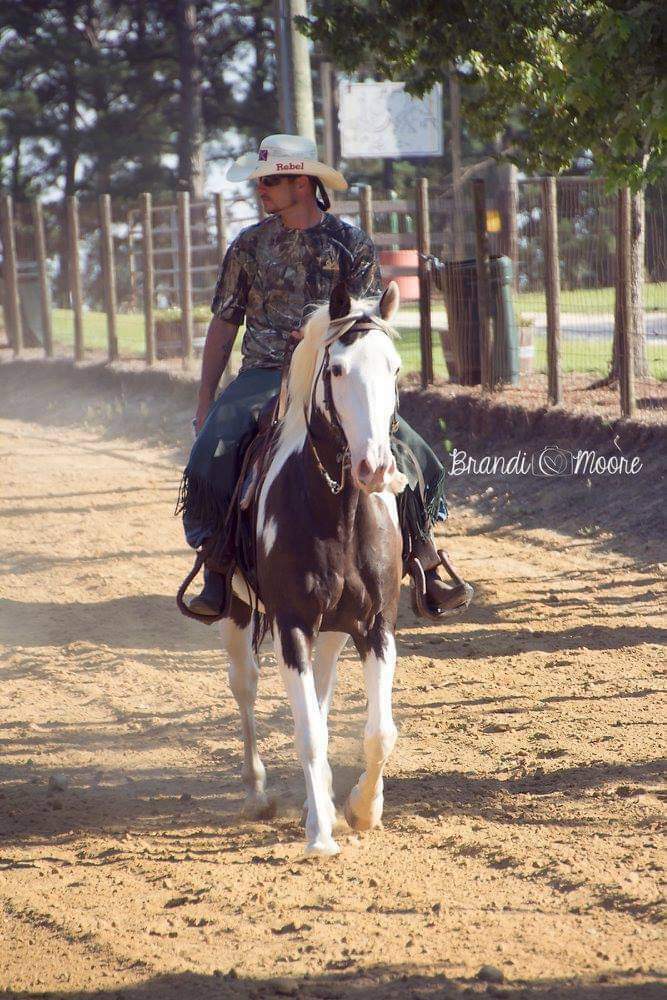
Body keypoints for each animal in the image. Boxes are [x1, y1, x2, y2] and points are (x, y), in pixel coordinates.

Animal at [220, 279, 406, 856]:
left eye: (395, 368)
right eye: (338, 369)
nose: (375, 468)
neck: (336, 512)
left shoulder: (376, 627)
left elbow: (378, 732)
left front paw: (363, 809)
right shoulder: (293, 627)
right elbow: (307, 733)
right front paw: (322, 834)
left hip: (335, 630)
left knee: (321, 693)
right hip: (237, 610)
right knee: (245, 684)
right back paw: (258, 792)